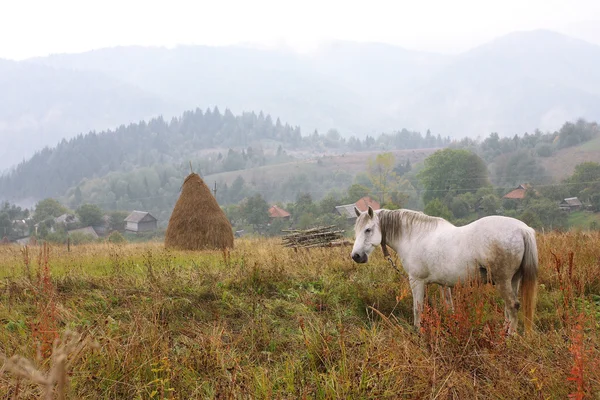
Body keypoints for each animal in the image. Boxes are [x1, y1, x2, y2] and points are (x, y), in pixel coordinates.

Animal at [350, 206, 536, 334]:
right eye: (356, 230)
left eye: (368, 229)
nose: (356, 256)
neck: (415, 236)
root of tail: (523, 230)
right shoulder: (444, 284)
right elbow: (449, 307)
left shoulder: (416, 281)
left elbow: (418, 308)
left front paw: (418, 331)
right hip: (513, 280)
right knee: (508, 308)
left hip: (503, 281)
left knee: (512, 306)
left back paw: (510, 336)